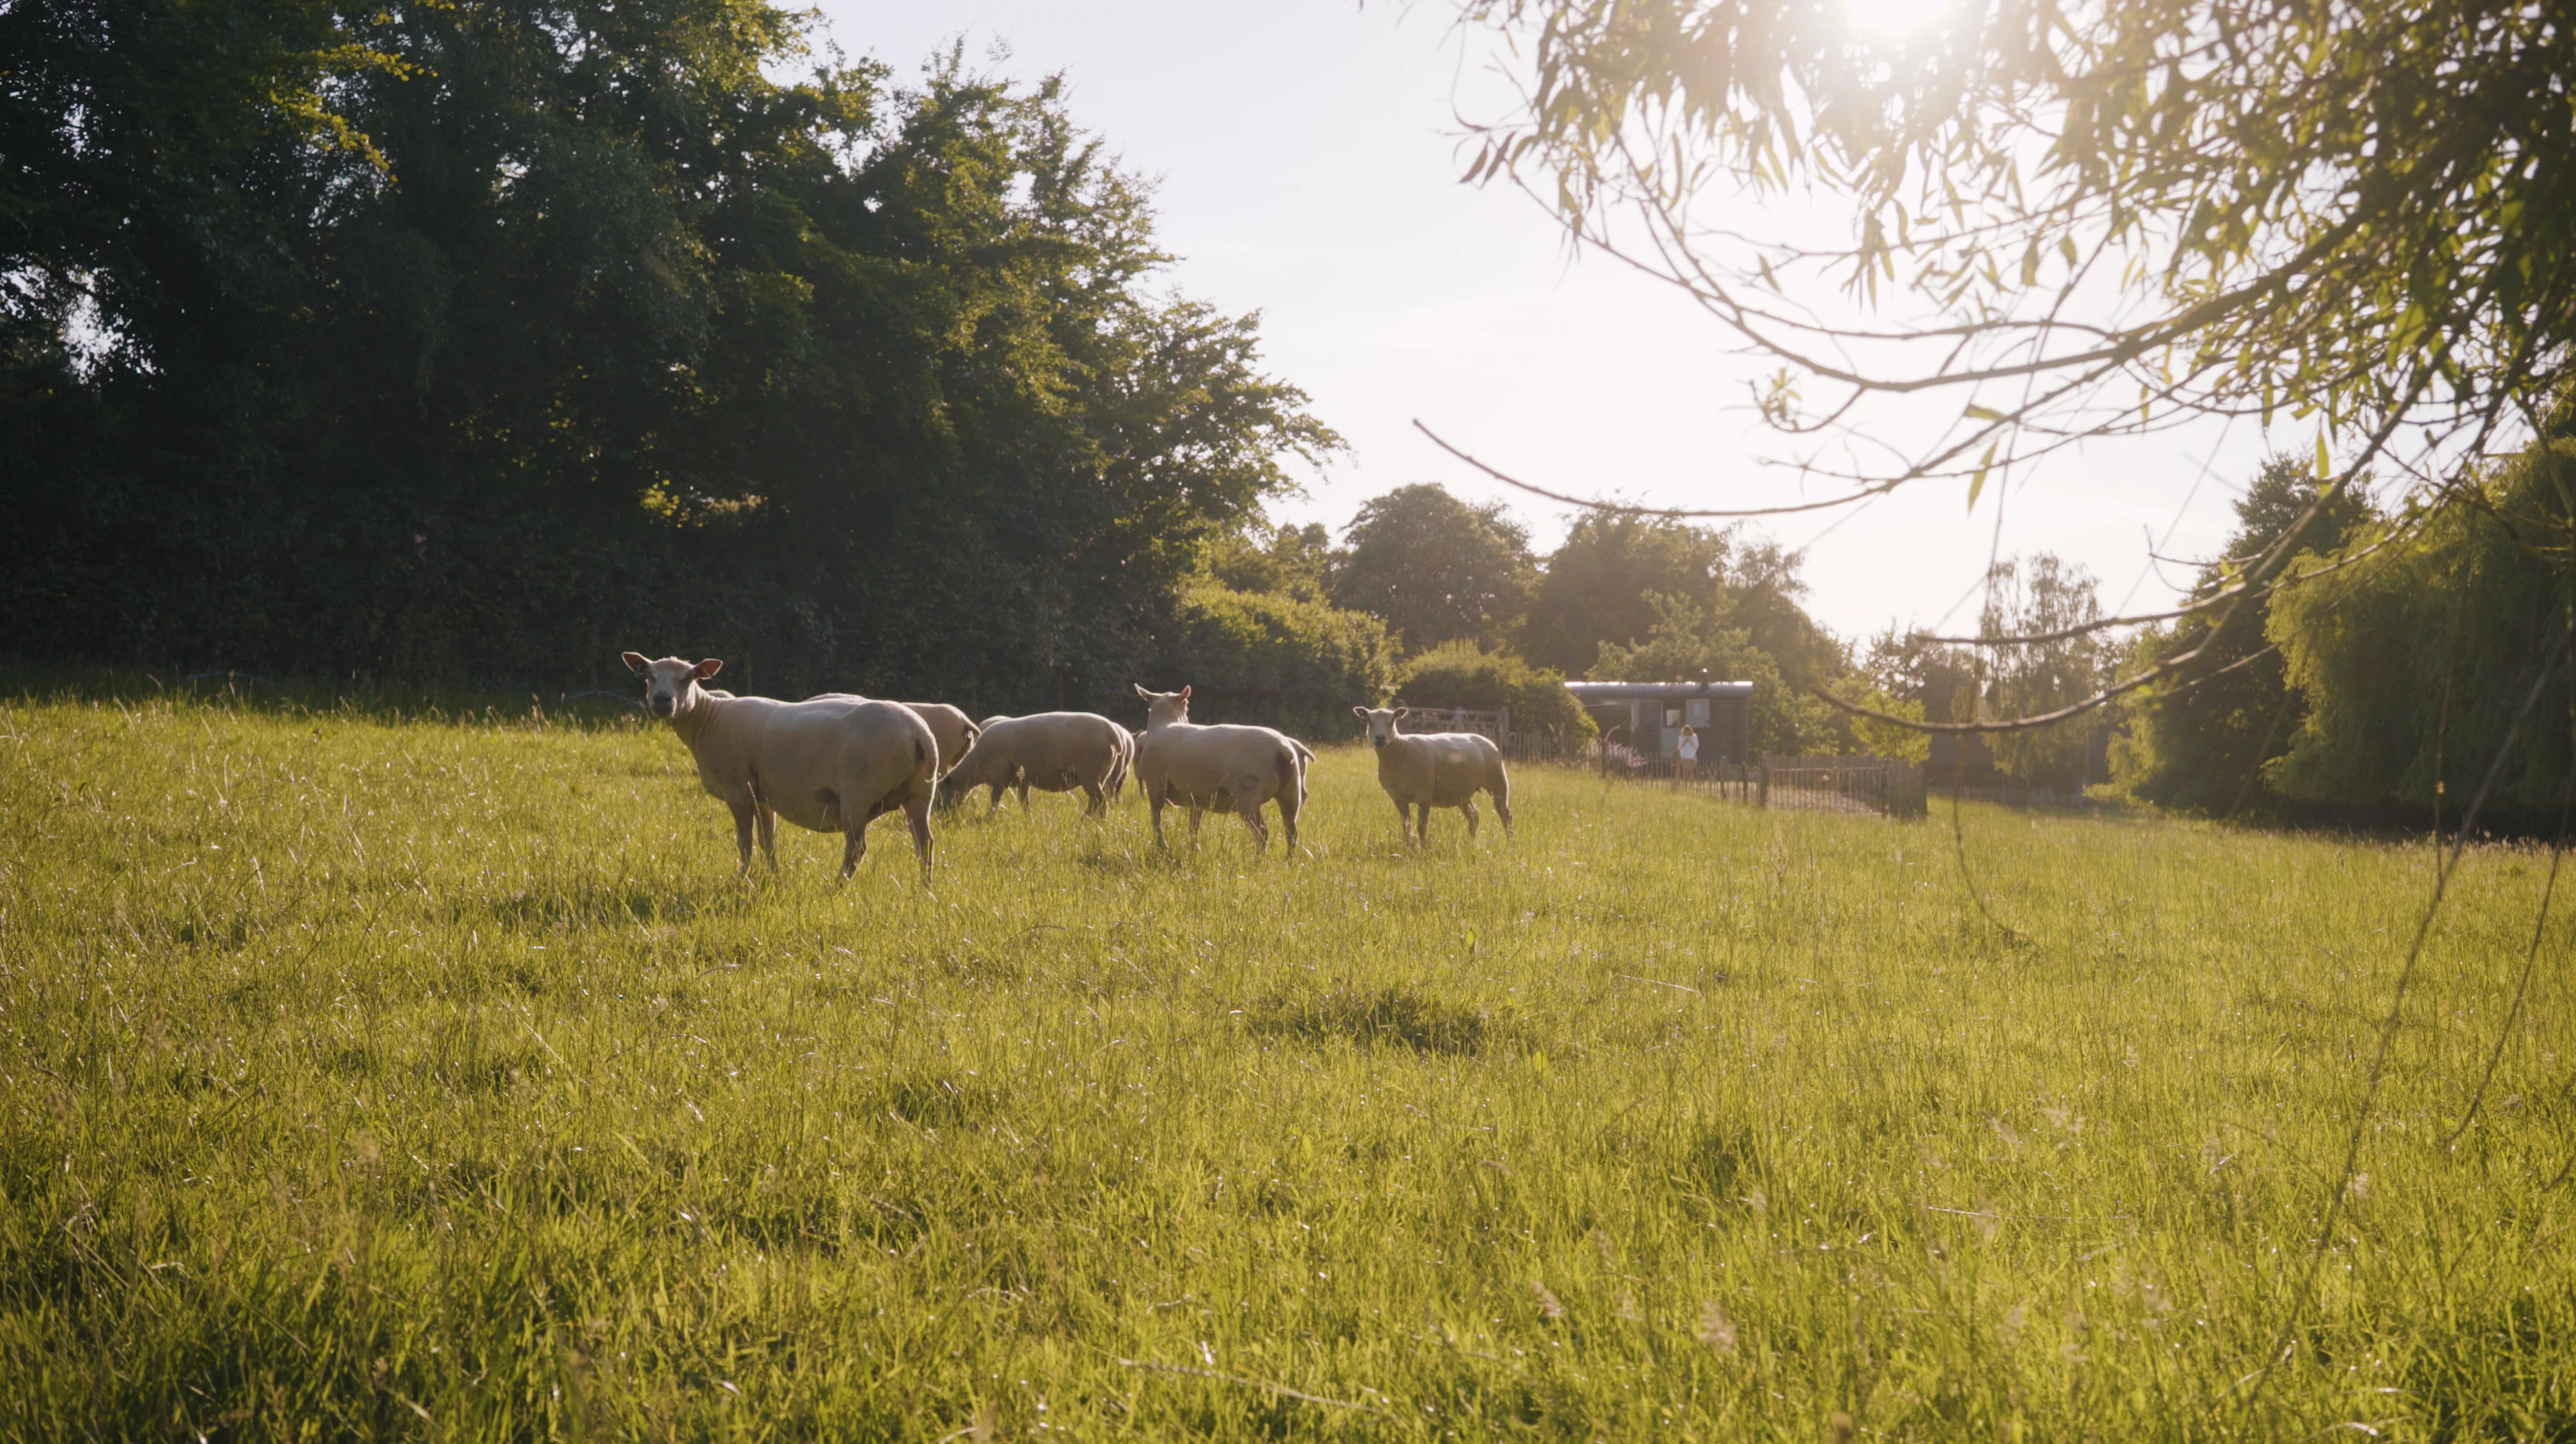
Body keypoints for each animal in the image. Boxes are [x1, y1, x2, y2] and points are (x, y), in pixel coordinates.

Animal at [629, 654, 938, 885]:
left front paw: (743, 878)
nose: (662, 701)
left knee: (857, 848)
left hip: (859, 795)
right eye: (650, 676)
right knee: (925, 842)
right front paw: (773, 876)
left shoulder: (737, 789)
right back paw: (925, 888)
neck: (709, 718)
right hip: (920, 793)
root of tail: (918, 732)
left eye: (687, 678)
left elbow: (744, 840)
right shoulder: (763, 794)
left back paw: (838, 886)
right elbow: (768, 840)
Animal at [947, 711, 1131, 817]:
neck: (976, 763)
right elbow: (1024, 802)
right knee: (1095, 801)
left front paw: (989, 818)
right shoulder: (1023, 781)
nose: (943, 816)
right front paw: (1029, 819)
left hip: (1090, 773)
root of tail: (1110, 730)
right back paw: (1086, 820)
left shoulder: (999, 777)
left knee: (1101, 802)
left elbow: (995, 800)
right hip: (1101, 775)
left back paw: (1091, 822)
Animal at [1130, 684, 1307, 853]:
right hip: (1291, 793)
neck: (1165, 722)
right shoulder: (1196, 797)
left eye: (1186, 704)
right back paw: (1289, 861)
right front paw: (1193, 849)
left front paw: (1162, 846)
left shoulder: (1155, 788)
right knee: (1292, 832)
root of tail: (1283, 750)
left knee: (1262, 833)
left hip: (1248, 796)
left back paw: (1258, 860)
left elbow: (1156, 821)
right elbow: (1193, 827)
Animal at [1352, 705, 1513, 845]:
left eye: (1392, 721)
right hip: (1462, 793)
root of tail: (1487, 741)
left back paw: (1509, 844)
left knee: (1506, 816)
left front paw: (1423, 849)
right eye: (1369, 720)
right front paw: (1411, 847)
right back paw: (1470, 843)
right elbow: (1406, 827)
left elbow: (1421, 827)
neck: (1401, 750)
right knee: (1474, 817)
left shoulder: (1424, 795)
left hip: (1498, 783)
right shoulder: (1398, 799)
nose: (1380, 738)